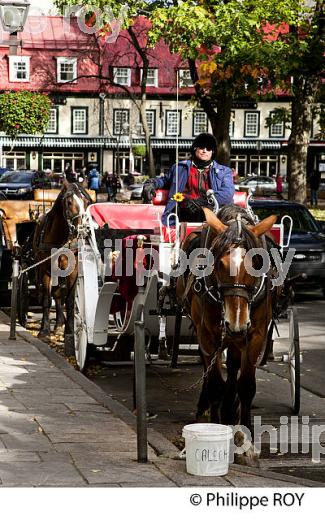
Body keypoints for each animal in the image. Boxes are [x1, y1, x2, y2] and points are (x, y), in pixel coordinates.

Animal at [32, 182, 92, 346]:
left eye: (86, 202)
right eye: (69, 202)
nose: (83, 228)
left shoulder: (73, 271)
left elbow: (70, 301)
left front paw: (69, 330)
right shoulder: (46, 270)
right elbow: (47, 299)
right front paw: (44, 330)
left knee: (59, 294)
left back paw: (60, 324)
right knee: (54, 293)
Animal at [175, 203, 278, 464]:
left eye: (258, 263)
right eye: (219, 264)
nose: (236, 323)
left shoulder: (256, 335)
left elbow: (246, 385)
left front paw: (247, 441)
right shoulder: (208, 335)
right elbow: (214, 384)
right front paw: (215, 426)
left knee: (232, 367)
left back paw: (231, 410)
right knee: (210, 368)